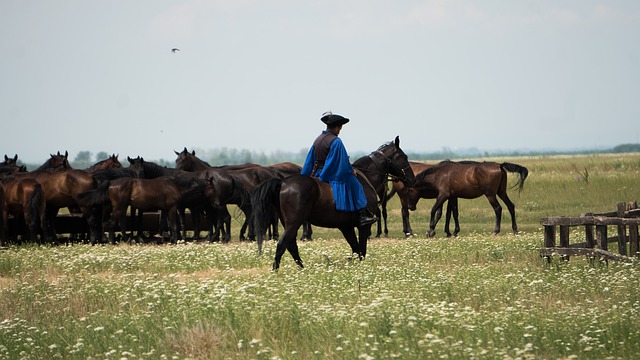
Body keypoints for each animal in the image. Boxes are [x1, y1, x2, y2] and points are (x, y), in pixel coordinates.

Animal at [251, 137, 416, 270]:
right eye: (403, 156)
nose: (412, 180)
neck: (366, 177)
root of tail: (283, 182)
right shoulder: (364, 226)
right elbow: (361, 250)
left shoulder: (346, 227)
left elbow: (356, 249)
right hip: (293, 223)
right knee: (282, 245)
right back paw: (277, 270)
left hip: (288, 223)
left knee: (291, 246)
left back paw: (302, 269)